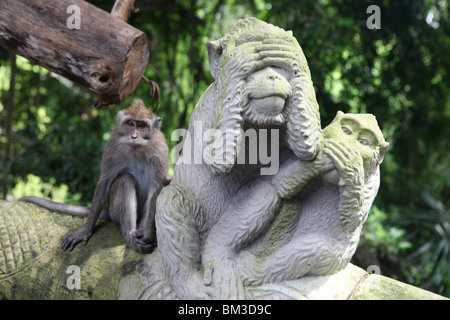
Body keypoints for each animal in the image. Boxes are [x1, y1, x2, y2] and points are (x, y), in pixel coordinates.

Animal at [20, 99, 170, 254]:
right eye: (130, 123)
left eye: (141, 125)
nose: (134, 137)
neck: (137, 150)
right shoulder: (111, 149)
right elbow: (104, 183)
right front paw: (85, 231)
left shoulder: (159, 151)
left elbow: (157, 187)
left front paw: (147, 233)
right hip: (114, 211)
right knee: (124, 179)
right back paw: (130, 235)